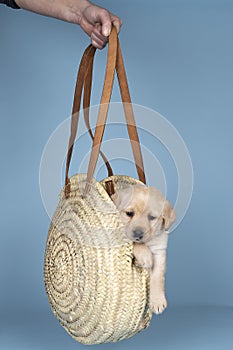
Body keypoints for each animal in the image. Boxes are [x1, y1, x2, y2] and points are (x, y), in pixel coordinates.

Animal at [112, 185, 176, 316]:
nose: (138, 234)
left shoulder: (159, 250)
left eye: (151, 217)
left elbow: (158, 277)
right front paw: (146, 257)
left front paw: (157, 301)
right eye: (129, 213)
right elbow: (136, 244)